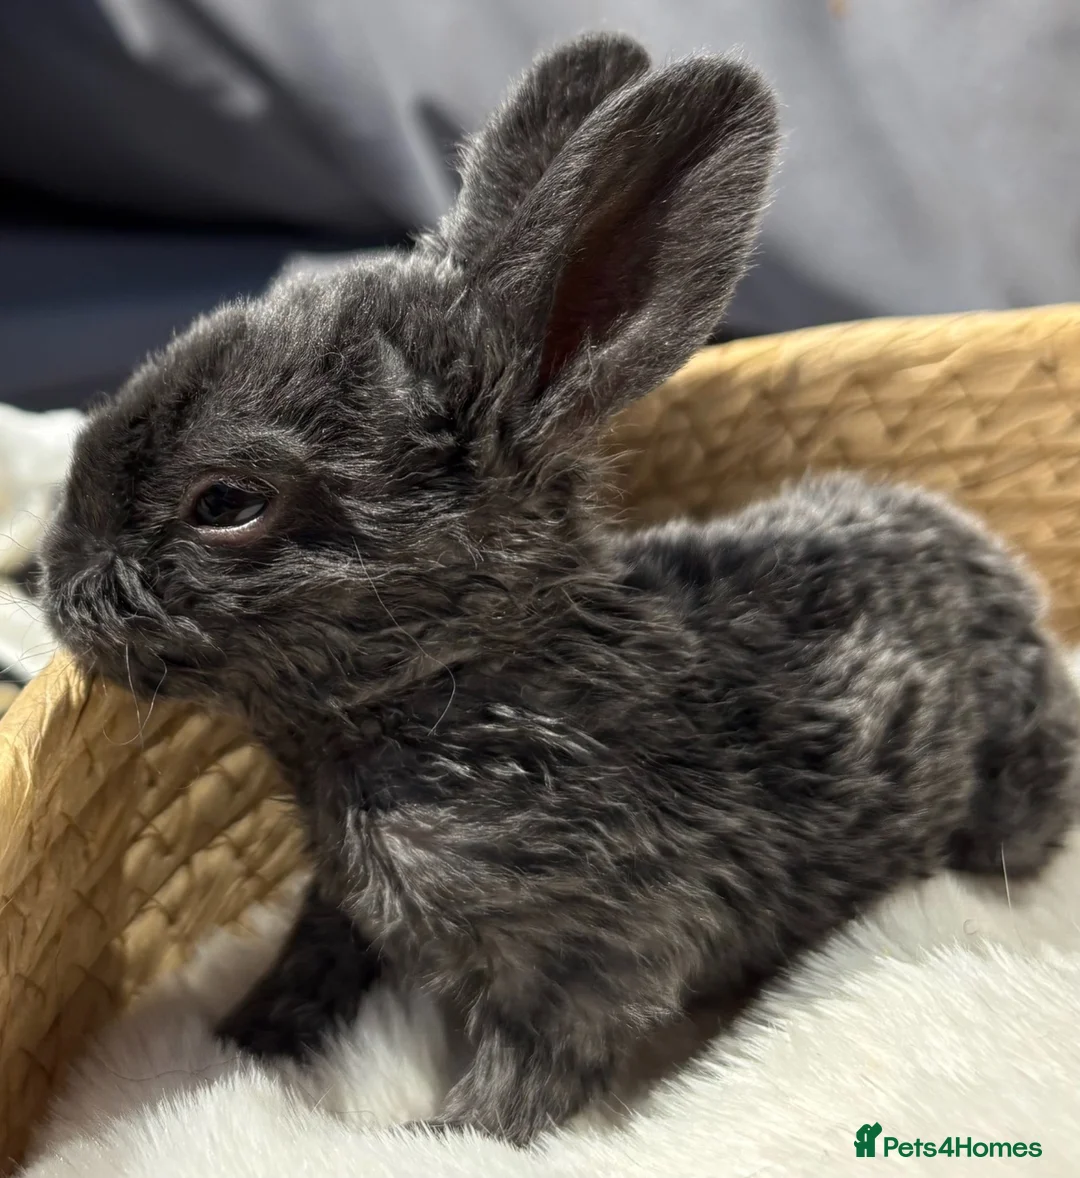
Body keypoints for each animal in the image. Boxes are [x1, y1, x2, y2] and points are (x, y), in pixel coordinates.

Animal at [41, 32, 1080, 1147]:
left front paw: (434, 1137)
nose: (59, 583)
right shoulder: (347, 899)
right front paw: (244, 1037)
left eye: (227, 501)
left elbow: (525, 1078)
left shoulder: (581, 952)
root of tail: (1003, 577)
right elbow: (316, 952)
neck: (454, 684)